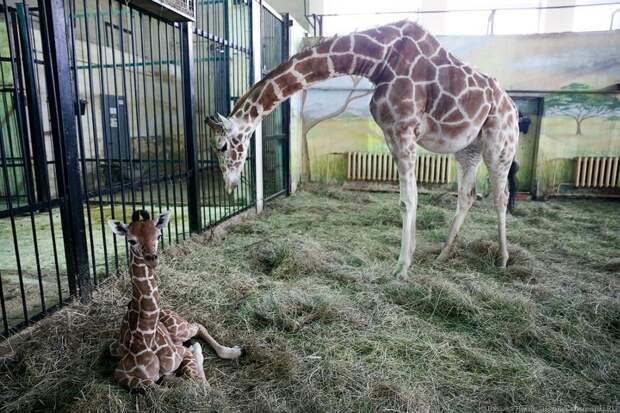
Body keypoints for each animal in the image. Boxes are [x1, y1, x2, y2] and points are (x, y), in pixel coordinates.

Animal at [106, 211, 242, 392]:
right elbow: (164, 386)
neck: (145, 340)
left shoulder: (180, 355)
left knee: (198, 327)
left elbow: (198, 382)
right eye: (131, 240)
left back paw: (235, 351)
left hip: (179, 328)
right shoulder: (122, 375)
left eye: (158, 235)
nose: (152, 259)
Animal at [207, 20, 520, 276]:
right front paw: (411, 257)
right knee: (467, 195)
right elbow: (410, 198)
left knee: (500, 196)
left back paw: (503, 259)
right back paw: (443, 255)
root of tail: (514, 107)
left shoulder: (403, 129)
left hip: (499, 145)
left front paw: (402, 268)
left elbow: (408, 199)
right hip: (468, 149)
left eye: (221, 147)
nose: (229, 186)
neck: (377, 59)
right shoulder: (392, 131)